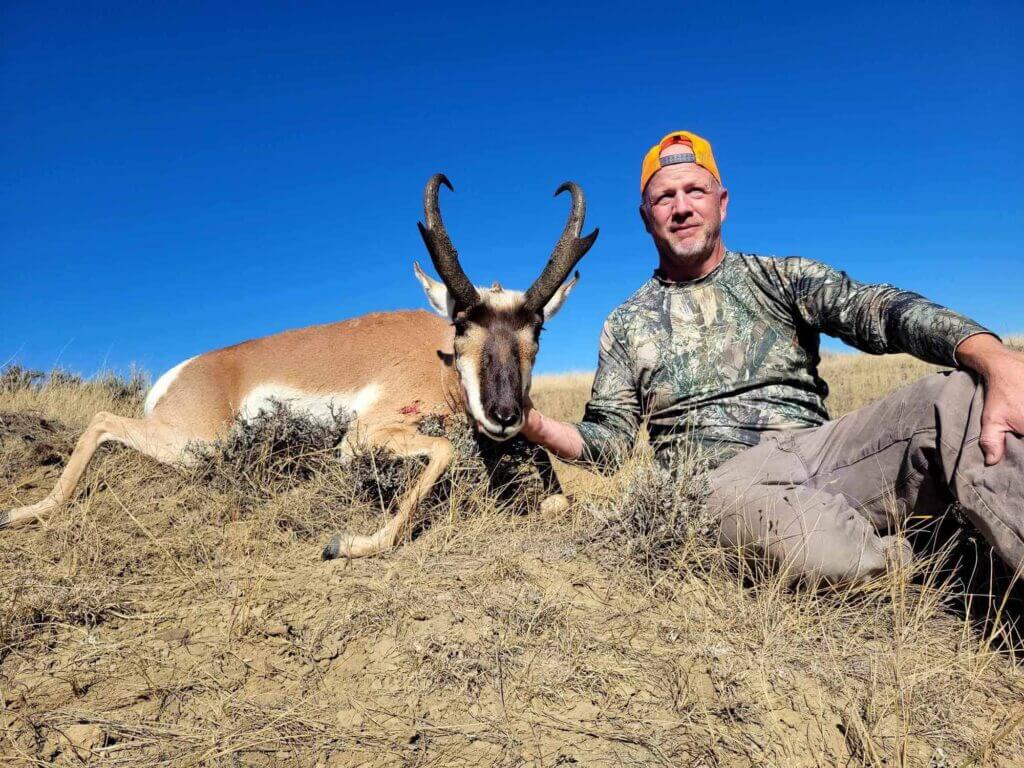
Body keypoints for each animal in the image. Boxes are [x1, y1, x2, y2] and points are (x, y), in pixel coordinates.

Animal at [2, 174, 598, 559]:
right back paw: (24, 513)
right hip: (195, 445)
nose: (503, 414)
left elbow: (555, 496)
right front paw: (350, 544)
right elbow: (445, 452)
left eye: (537, 330)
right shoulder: (360, 438)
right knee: (102, 419)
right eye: (461, 325)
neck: (439, 362)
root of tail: (188, 370)